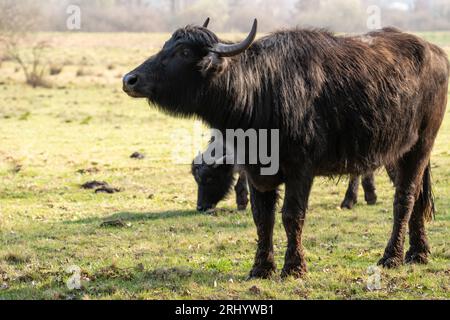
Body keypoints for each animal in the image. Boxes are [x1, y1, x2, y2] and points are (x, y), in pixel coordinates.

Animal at [121, 19, 448, 278]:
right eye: (166, 45)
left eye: (184, 52)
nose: (130, 79)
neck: (260, 90)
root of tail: (436, 52)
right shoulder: (254, 170)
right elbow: (262, 217)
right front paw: (261, 268)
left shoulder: (301, 169)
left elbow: (292, 215)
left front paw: (293, 268)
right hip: (395, 152)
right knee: (418, 197)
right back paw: (418, 253)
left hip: (420, 145)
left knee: (404, 199)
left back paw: (391, 257)